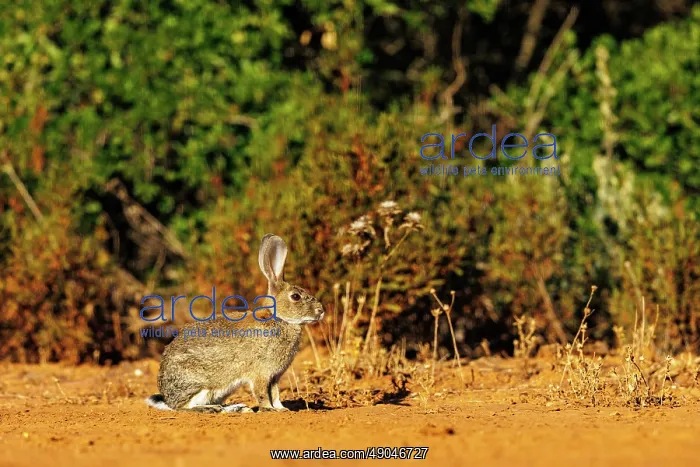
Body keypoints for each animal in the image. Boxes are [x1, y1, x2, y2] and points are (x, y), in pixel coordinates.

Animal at [145, 234, 324, 413]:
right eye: (295, 296)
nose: (321, 310)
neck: (278, 318)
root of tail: (167, 398)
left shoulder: (274, 376)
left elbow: (275, 394)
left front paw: (282, 409)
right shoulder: (261, 373)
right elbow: (263, 394)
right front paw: (270, 409)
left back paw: (236, 408)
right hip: (199, 385)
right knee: (184, 407)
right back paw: (212, 409)